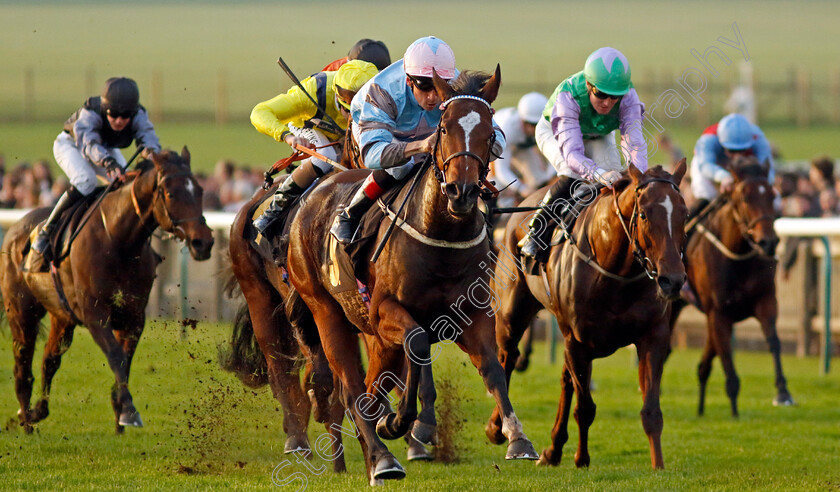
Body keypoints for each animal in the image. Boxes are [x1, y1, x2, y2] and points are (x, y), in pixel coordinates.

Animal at [4, 148, 213, 432]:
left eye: (200, 190)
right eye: (170, 193)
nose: (204, 242)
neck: (118, 240)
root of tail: (15, 227)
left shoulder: (133, 315)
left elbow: (124, 361)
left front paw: (121, 411)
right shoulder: (95, 314)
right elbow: (115, 356)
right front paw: (127, 411)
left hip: (62, 316)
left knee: (50, 359)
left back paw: (38, 410)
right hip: (21, 311)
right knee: (23, 363)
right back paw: (25, 417)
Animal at [288, 68, 540, 484]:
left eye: (490, 133)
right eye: (443, 128)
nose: (462, 191)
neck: (441, 239)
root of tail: (312, 195)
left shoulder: (473, 314)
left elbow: (492, 367)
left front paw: (517, 438)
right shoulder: (384, 312)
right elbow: (418, 344)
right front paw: (403, 423)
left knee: (369, 386)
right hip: (326, 311)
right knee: (352, 388)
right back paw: (382, 458)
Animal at [486, 160, 688, 468]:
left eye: (684, 213)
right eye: (643, 214)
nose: (673, 280)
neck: (615, 272)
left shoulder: (653, 336)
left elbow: (651, 411)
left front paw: (658, 466)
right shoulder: (577, 342)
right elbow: (585, 408)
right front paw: (582, 458)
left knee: (564, 380)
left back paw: (553, 449)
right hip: (512, 313)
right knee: (507, 358)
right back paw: (499, 429)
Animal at [668, 156, 796, 418]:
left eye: (772, 195)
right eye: (745, 198)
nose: (769, 242)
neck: (738, 256)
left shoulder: (766, 302)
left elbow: (774, 341)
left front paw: (783, 392)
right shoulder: (719, 313)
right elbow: (726, 353)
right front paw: (735, 409)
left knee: (704, 363)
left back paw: (700, 407)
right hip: (677, 306)